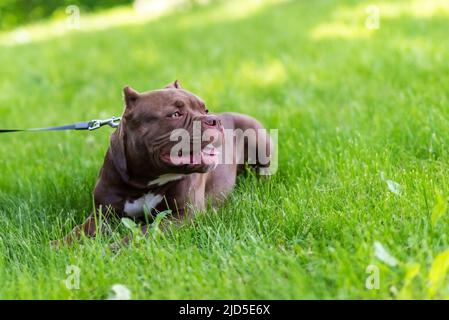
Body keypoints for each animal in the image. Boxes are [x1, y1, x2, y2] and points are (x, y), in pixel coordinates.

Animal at [57, 81, 272, 244]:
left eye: (205, 109)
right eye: (175, 114)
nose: (214, 120)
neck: (145, 180)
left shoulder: (183, 215)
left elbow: (142, 233)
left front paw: (112, 248)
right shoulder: (103, 214)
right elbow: (79, 231)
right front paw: (58, 245)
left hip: (260, 140)